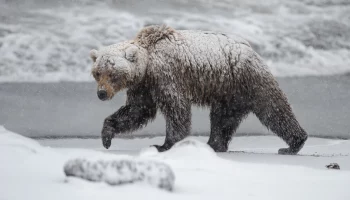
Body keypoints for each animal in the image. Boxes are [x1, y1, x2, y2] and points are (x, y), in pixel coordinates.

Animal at [89, 25, 306, 155]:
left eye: (112, 73)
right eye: (98, 73)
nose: (101, 93)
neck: (148, 65)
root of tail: (252, 49)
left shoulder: (167, 76)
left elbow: (176, 109)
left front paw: (164, 145)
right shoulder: (144, 86)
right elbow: (136, 111)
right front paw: (106, 136)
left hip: (246, 79)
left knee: (273, 110)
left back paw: (293, 143)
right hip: (227, 92)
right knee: (223, 118)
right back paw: (213, 144)